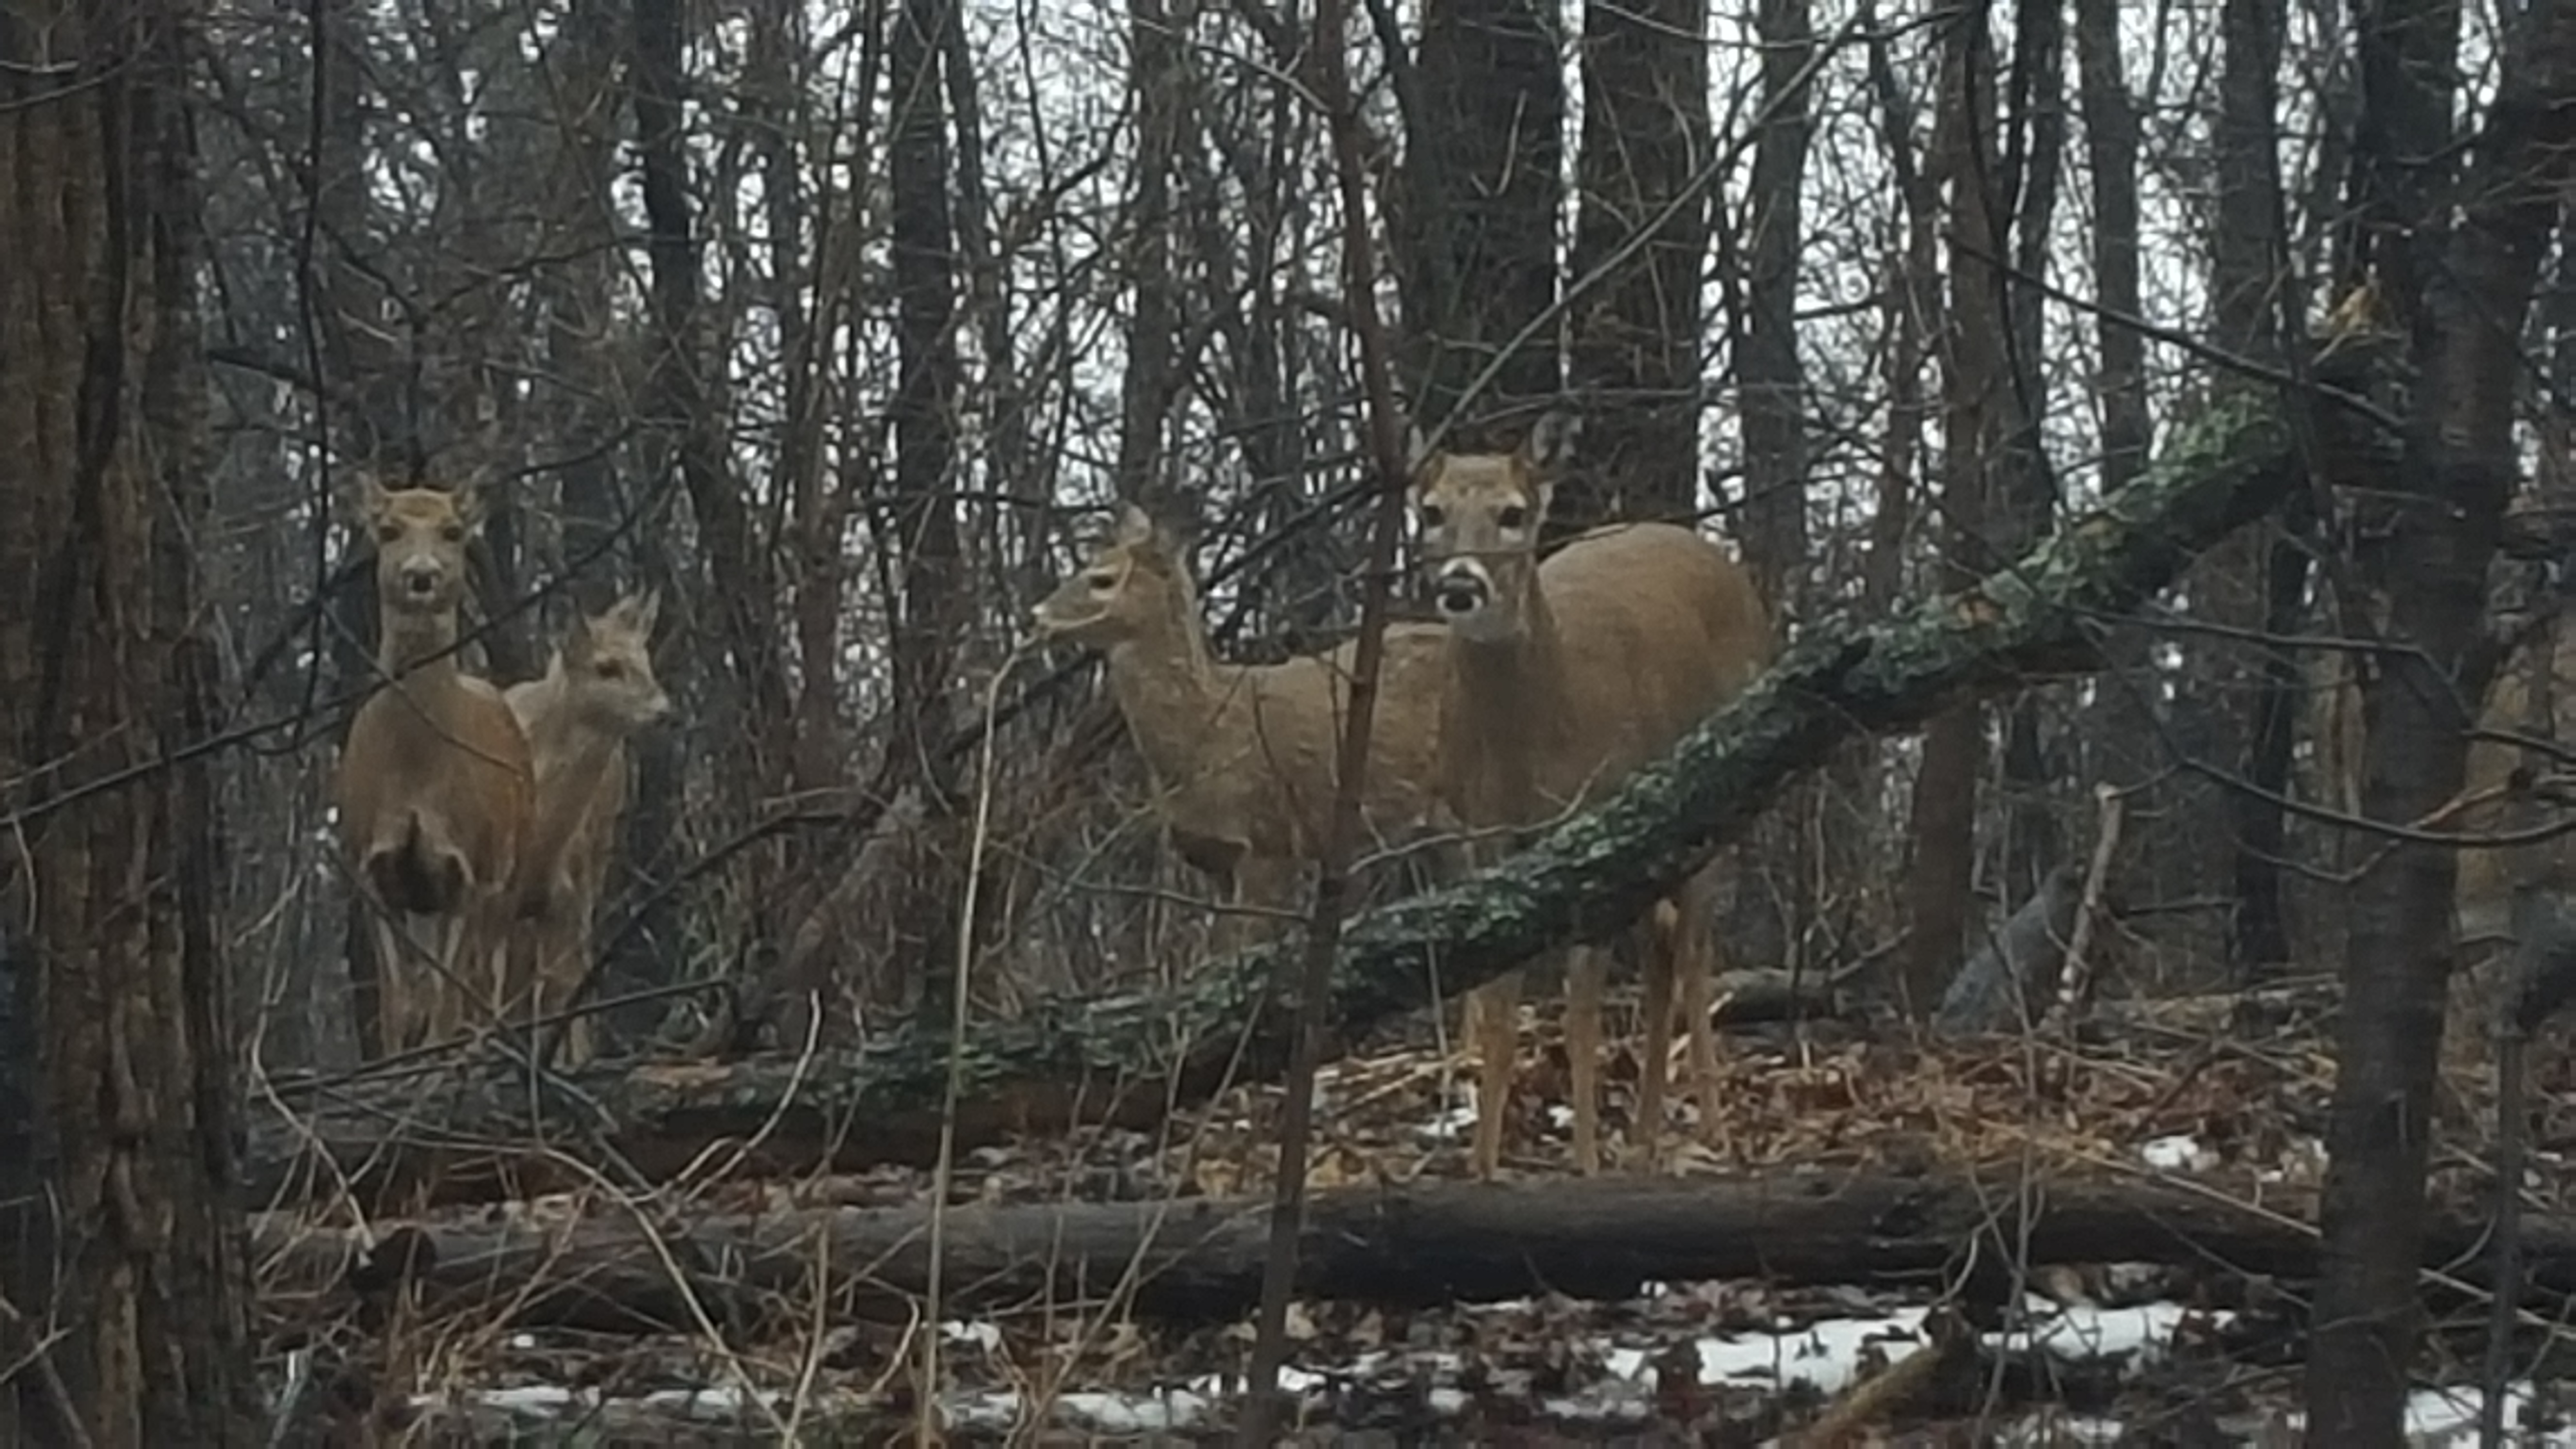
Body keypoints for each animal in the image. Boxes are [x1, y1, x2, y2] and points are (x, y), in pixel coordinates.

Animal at [334, 478, 535, 1057]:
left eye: (452, 530)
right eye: (387, 529)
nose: (421, 575)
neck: (416, 772)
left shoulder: (468, 868)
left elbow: (449, 1000)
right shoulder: (369, 867)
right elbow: (396, 1003)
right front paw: (397, 1061)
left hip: (509, 869)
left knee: (486, 983)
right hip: (424, 897)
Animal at [502, 590, 670, 1064]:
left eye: (646, 658)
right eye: (606, 666)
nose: (662, 710)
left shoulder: (566, 897)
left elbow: (562, 987)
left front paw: (568, 1061)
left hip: (596, 863)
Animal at [1411, 413, 1776, 1177]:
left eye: (1512, 514)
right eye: (1430, 512)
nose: (1460, 585)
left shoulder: (1589, 826)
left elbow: (1579, 1013)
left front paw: (1583, 1163)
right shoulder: (1484, 835)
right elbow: (1500, 1005)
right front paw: (1482, 1166)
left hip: (1717, 800)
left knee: (1694, 954)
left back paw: (1710, 1129)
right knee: (1664, 953)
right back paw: (1643, 1136)